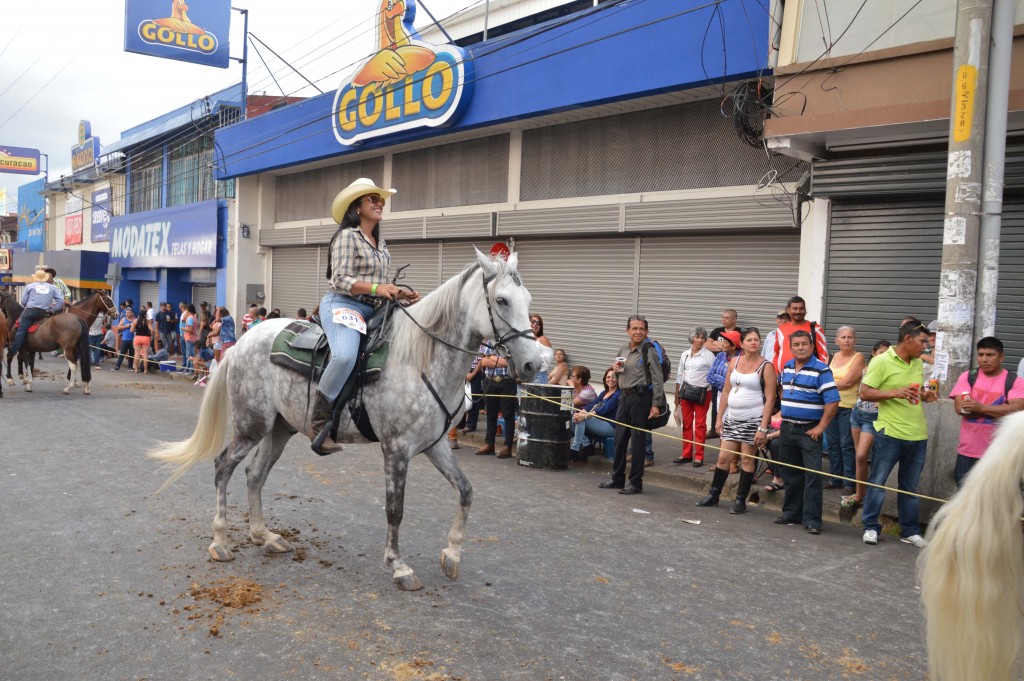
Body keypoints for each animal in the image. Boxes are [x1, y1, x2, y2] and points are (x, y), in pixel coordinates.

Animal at [149, 249, 544, 589]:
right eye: (501, 300)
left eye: (527, 301)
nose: (532, 364)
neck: (419, 360)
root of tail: (241, 343)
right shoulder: (396, 449)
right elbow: (395, 509)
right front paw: (399, 566)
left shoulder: (435, 445)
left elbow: (465, 491)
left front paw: (452, 554)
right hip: (252, 424)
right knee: (223, 467)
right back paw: (220, 541)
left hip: (280, 428)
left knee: (254, 474)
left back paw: (265, 536)